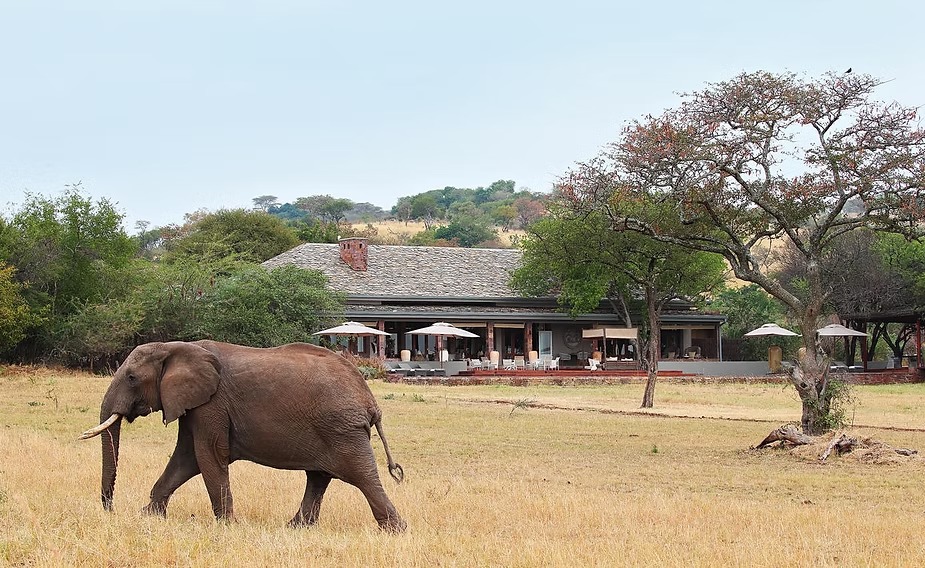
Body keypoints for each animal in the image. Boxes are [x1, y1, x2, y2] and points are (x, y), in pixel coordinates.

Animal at [79, 340, 406, 532]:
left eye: (132, 378)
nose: (110, 510)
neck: (177, 347)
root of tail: (370, 400)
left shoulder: (212, 404)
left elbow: (208, 455)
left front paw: (227, 527)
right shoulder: (195, 404)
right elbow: (187, 458)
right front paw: (148, 516)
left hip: (341, 430)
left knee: (361, 476)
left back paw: (394, 531)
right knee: (319, 477)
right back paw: (294, 529)